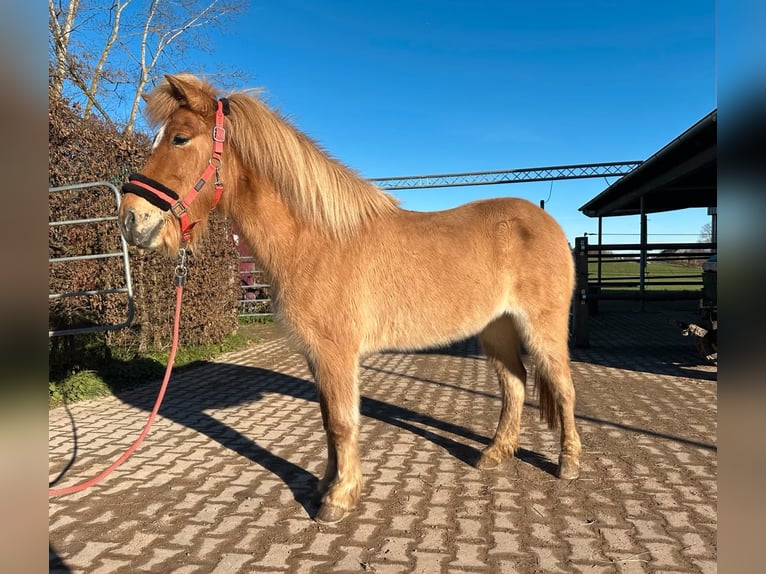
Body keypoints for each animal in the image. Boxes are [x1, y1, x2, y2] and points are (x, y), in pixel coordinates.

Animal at [119, 74, 581, 524]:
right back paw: (495, 453)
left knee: (562, 386)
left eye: (180, 138)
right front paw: (326, 485)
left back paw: (568, 464)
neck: (316, 240)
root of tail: (545, 222)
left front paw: (339, 500)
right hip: (496, 328)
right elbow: (328, 421)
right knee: (515, 383)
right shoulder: (317, 354)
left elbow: (342, 422)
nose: (132, 220)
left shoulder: (336, 352)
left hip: (542, 327)